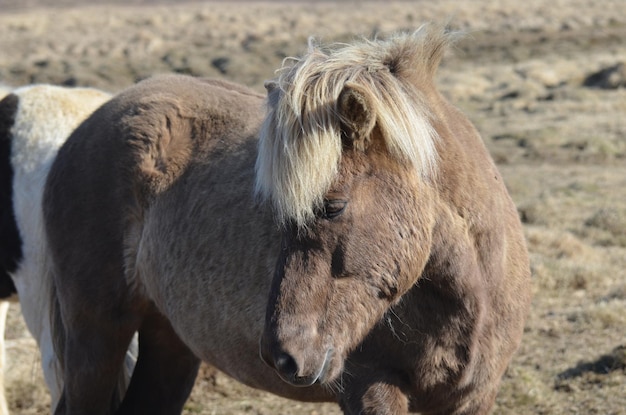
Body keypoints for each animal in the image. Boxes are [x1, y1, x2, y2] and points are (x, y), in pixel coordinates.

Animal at [45, 25, 528, 415]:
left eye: (333, 206)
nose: (281, 355)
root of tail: (84, 128)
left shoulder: (474, 399)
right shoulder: (371, 388)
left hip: (168, 339)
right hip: (96, 337)